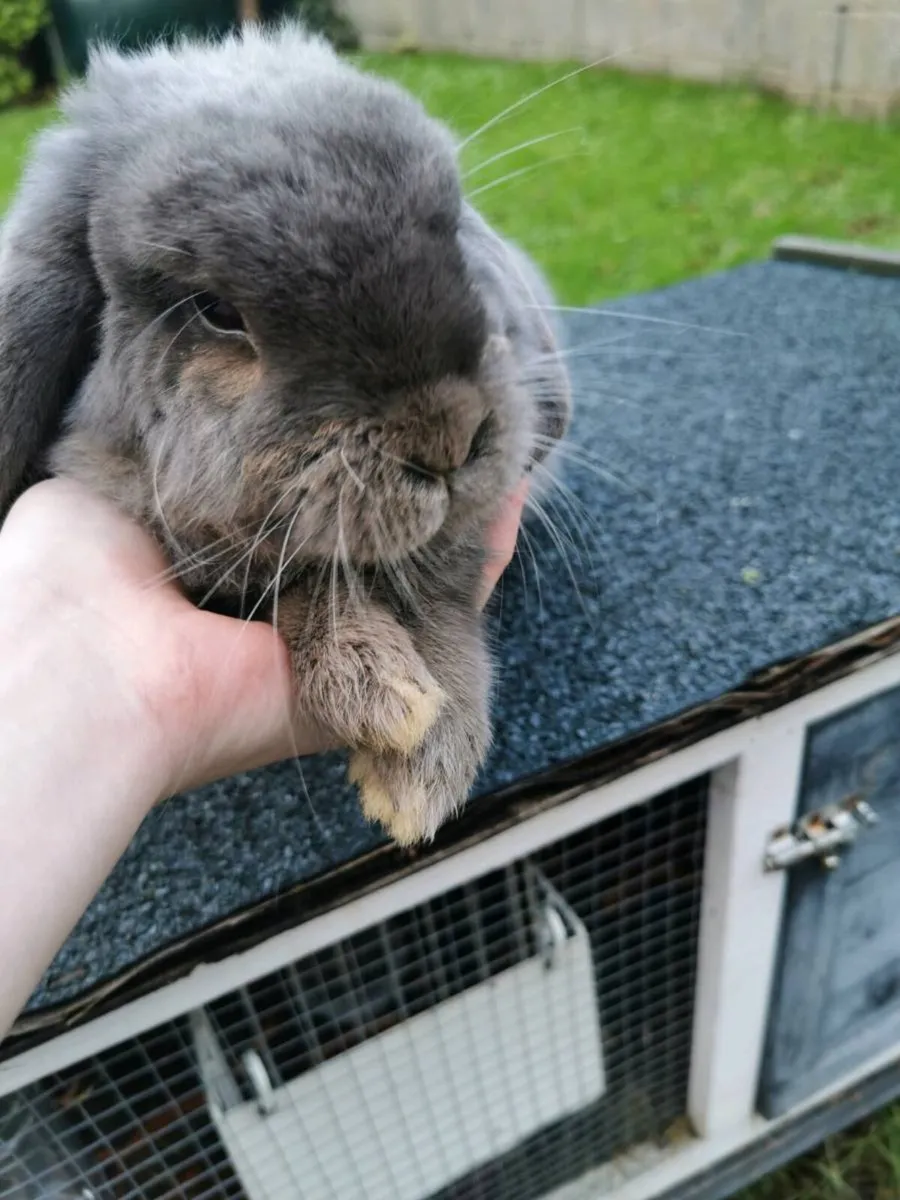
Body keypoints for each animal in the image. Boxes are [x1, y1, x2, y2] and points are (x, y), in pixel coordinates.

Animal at [0, 21, 571, 846]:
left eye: (453, 226)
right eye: (217, 311)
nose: (450, 436)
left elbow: (437, 591)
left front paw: (421, 763)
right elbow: (306, 585)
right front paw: (386, 698)